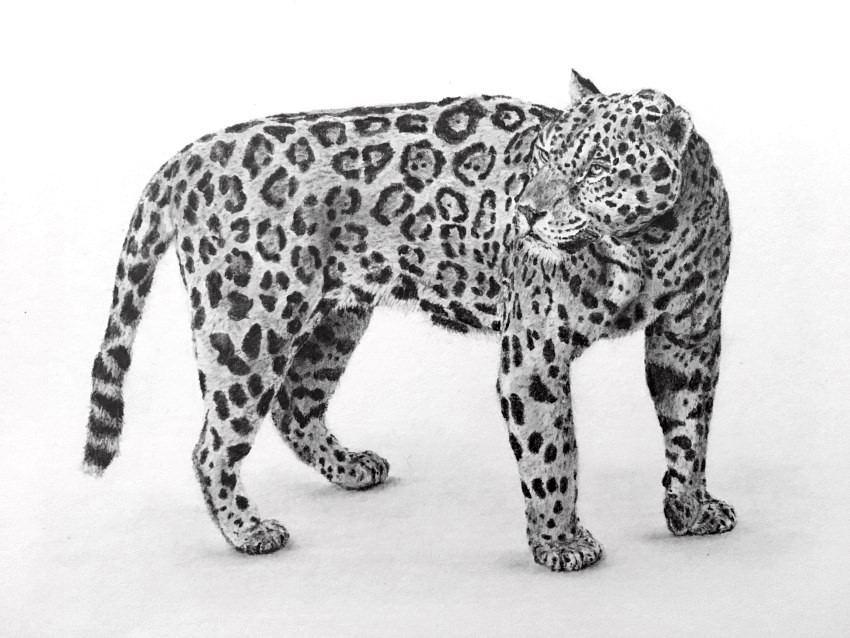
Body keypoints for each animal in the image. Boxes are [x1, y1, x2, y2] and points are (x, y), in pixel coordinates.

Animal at [84, 71, 736, 571]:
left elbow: (689, 431)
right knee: (212, 446)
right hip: (249, 326)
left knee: (296, 403)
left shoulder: (689, 338)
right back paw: (250, 533)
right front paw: (561, 544)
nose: (525, 212)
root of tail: (186, 157)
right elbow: (552, 457)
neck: (647, 244)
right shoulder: (534, 354)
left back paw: (351, 469)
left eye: (597, 168)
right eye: (545, 157)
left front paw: (692, 512)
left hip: (336, 320)